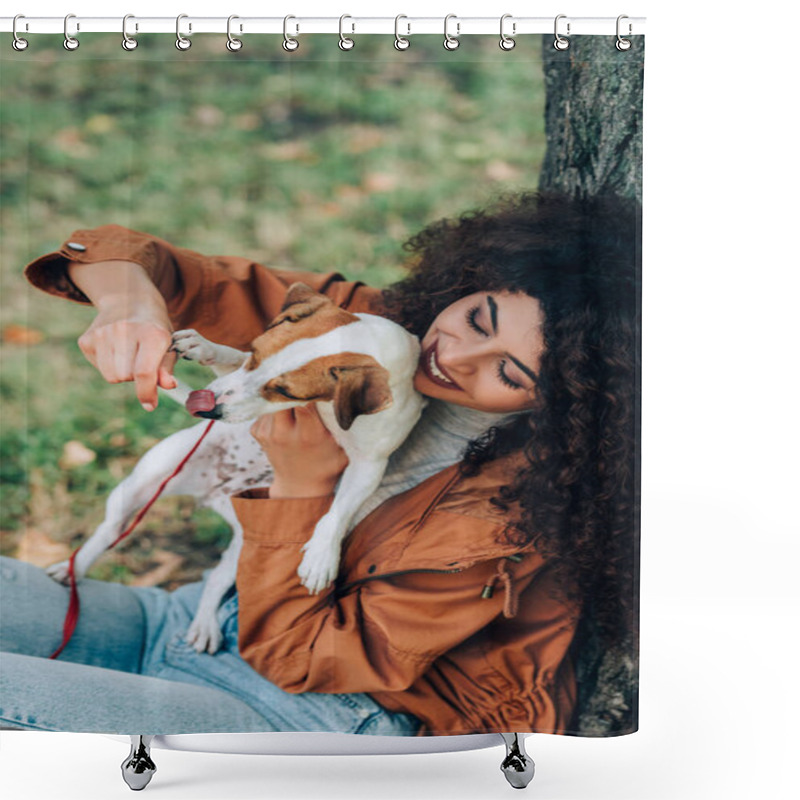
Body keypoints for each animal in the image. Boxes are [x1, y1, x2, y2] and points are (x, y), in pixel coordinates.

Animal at [47, 284, 424, 652]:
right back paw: (75, 567)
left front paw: (321, 554)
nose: (206, 409)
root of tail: (214, 496)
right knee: (111, 529)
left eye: (285, 391)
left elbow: (339, 511)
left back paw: (205, 624)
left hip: (246, 543)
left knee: (217, 578)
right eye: (254, 352)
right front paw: (205, 345)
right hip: (151, 475)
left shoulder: (369, 464)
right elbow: (230, 357)